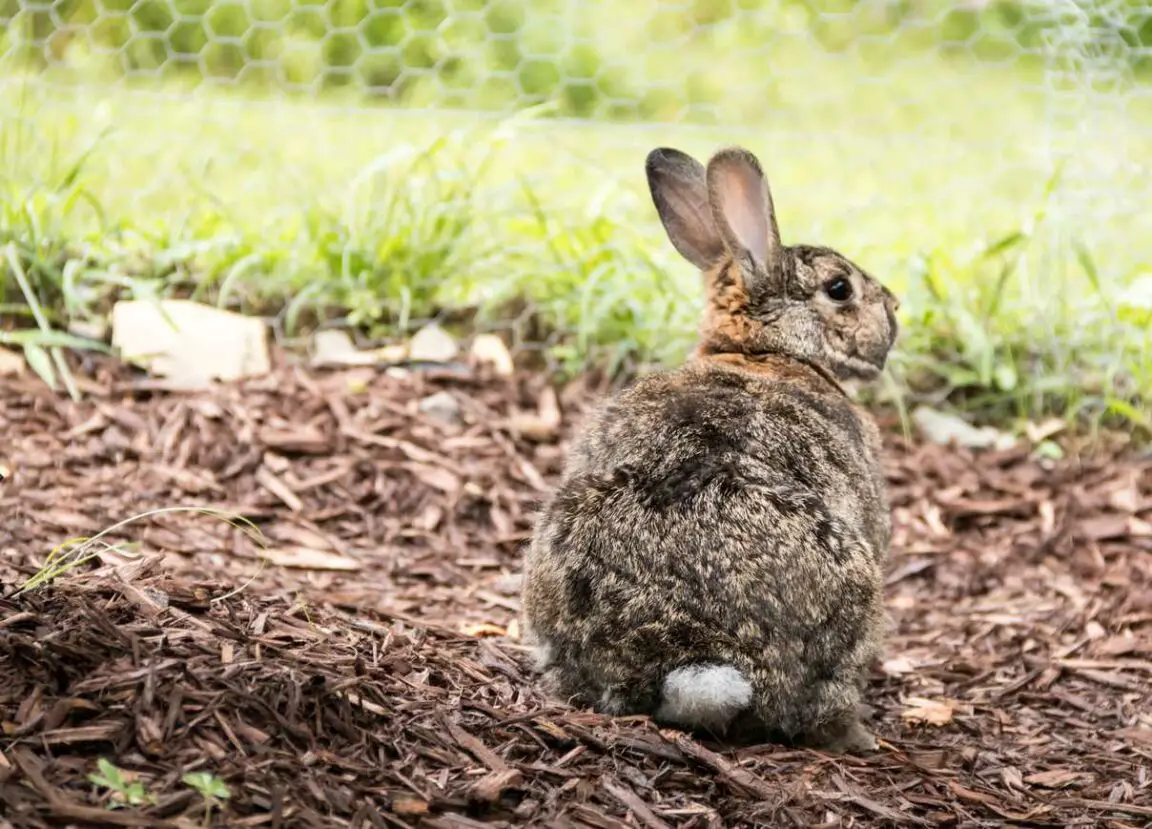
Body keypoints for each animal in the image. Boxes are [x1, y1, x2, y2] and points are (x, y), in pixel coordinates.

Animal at [520, 145, 900, 754]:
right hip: (853, 593)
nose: (895, 308)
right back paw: (857, 734)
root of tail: (684, 652)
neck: (764, 352)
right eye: (840, 288)